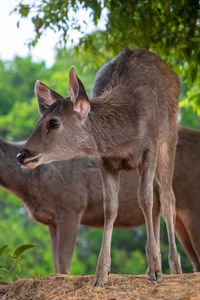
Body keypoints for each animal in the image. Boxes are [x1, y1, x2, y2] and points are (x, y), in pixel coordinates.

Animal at [1, 127, 200, 274]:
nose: (20, 157)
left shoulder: (71, 204)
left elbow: (64, 264)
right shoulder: (52, 220)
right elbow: (57, 264)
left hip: (192, 202)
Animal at [17, 48, 181, 286]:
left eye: (53, 122)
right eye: (37, 122)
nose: (22, 155)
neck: (123, 139)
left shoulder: (149, 149)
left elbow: (145, 200)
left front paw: (156, 270)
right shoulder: (105, 160)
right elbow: (110, 207)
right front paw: (101, 275)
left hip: (170, 135)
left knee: (168, 197)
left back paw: (175, 268)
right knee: (159, 196)